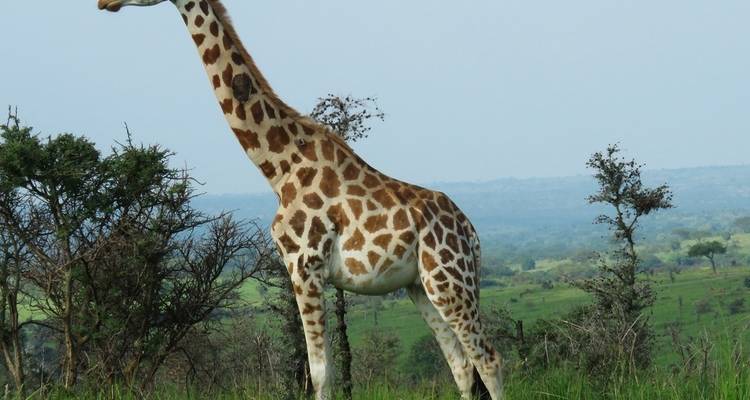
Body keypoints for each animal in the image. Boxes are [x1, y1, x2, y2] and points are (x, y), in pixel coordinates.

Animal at [98, 1, 504, 398]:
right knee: (461, 366)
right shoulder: (303, 268)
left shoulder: (304, 265)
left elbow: (319, 373)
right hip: (420, 284)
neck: (280, 166)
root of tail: (471, 231)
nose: (104, 3)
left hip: (450, 278)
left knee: (489, 358)